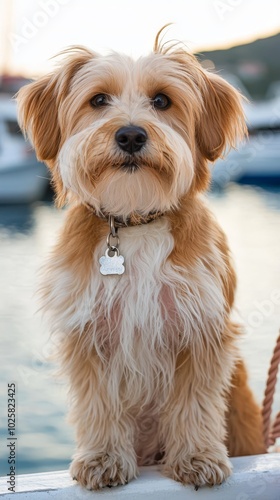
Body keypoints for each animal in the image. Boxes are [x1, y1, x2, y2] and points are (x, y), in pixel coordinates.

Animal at [16, 27, 266, 488]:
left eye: (162, 101)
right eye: (98, 100)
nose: (130, 135)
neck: (133, 222)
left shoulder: (199, 330)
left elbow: (194, 401)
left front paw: (197, 456)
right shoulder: (89, 332)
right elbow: (98, 402)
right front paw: (102, 457)